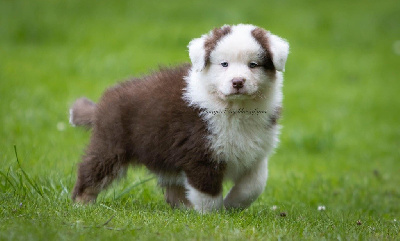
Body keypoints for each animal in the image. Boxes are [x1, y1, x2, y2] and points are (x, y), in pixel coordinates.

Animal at [70, 24, 290, 213]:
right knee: (90, 172)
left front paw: (232, 205)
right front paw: (211, 218)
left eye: (253, 65)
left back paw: (184, 210)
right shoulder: (200, 153)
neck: (238, 110)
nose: (237, 82)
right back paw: (81, 205)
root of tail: (102, 105)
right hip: (111, 146)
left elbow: (254, 185)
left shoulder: (256, 153)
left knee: (173, 190)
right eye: (224, 64)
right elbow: (208, 194)